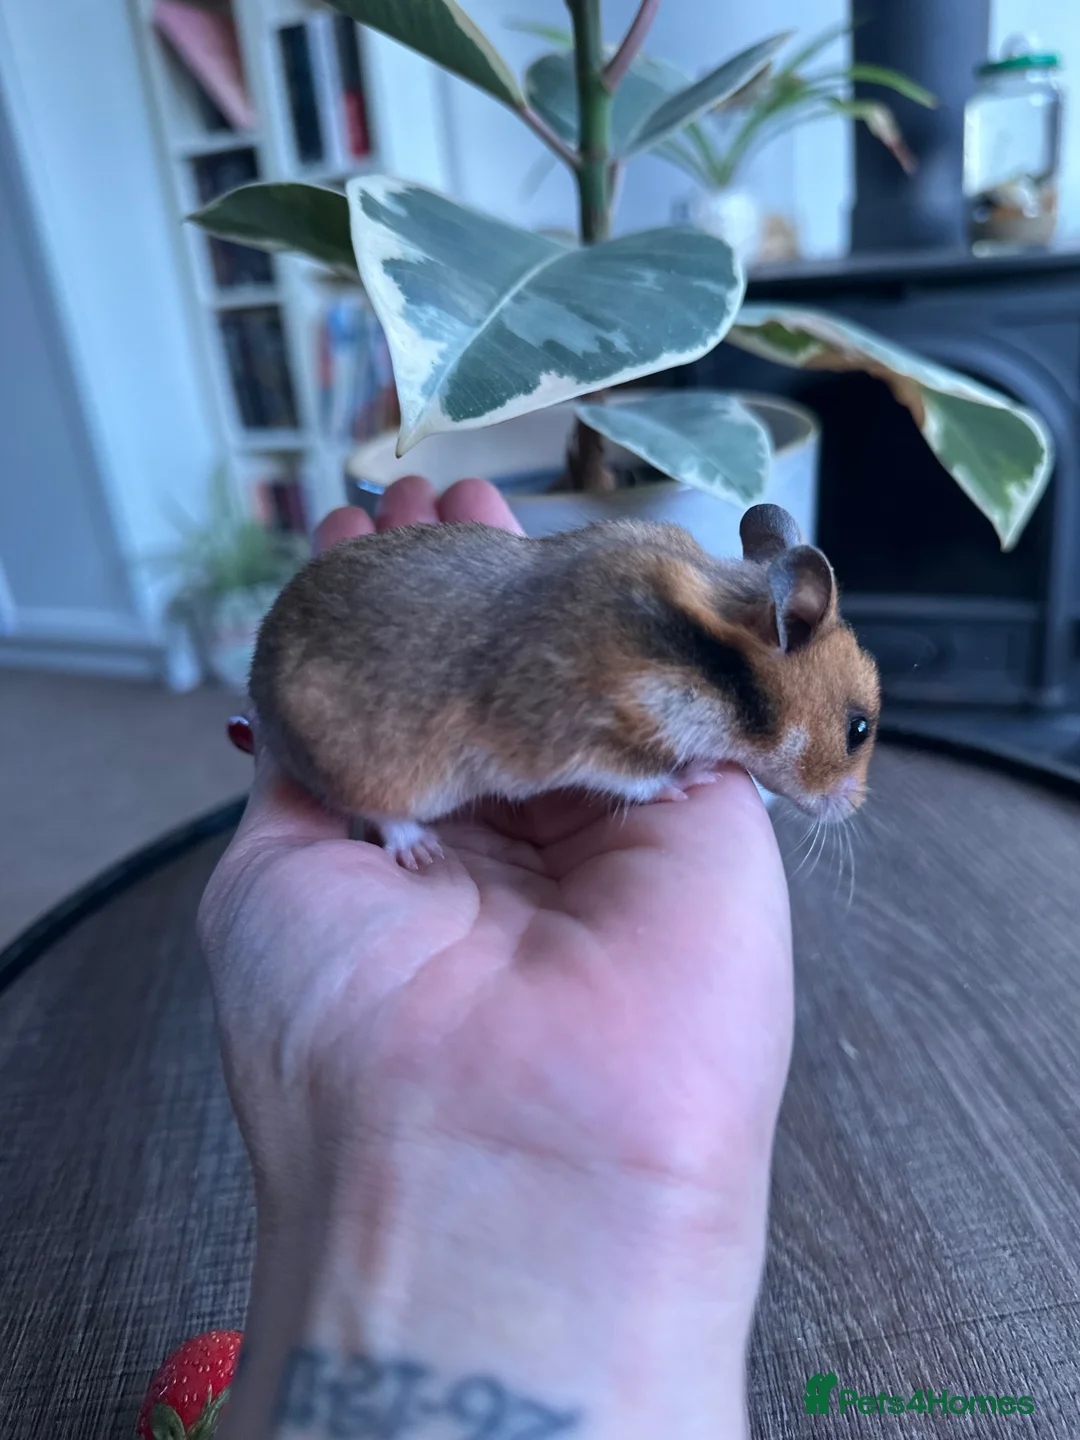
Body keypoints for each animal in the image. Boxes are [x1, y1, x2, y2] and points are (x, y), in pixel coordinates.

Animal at [250, 503, 880, 869]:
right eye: (858, 729)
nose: (853, 811)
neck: (707, 660)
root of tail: (257, 695)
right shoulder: (586, 741)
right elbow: (645, 779)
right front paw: (695, 776)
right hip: (382, 772)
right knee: (381, 810)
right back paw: (422, 851)